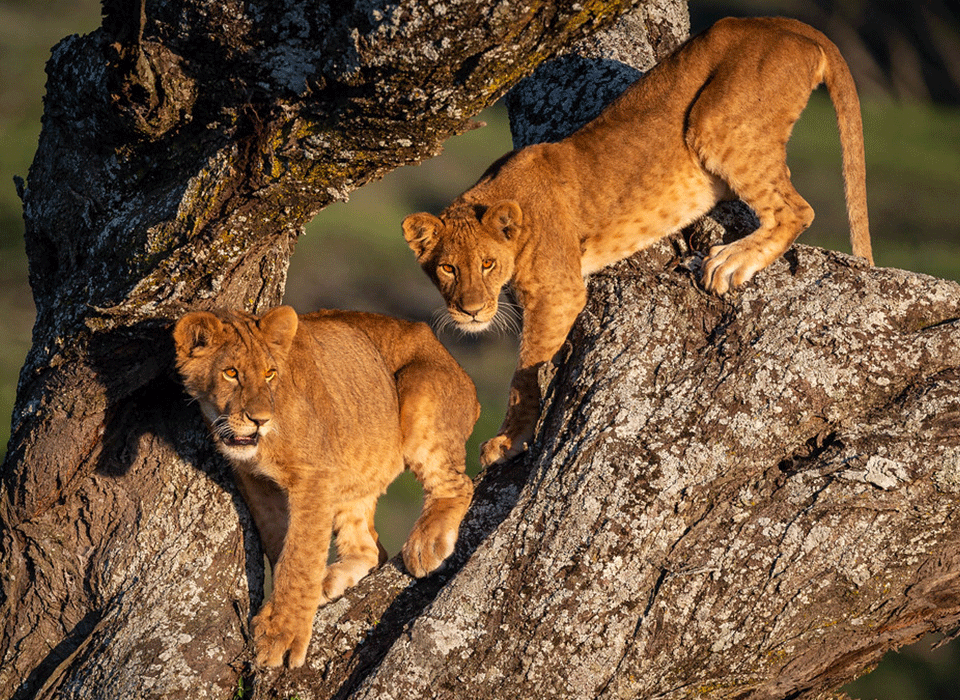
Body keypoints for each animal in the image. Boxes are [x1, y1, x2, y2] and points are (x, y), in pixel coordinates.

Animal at [173, 306, 479, 668]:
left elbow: (301, 553)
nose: (259, 420)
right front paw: (285, 609)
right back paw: (330, 579)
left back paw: (425, 545)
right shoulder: (255, 481)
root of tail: (454, 361)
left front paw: (282, 633)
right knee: (371, 549)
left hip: (420, 394)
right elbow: (281, 544)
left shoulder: (314, 477)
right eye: (231, 373)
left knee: (459, 484)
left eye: (270, 374)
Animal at [402, 17, 873, 466]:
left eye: (487, 264)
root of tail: (783, 24)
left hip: (715, 123)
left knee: (797, 210)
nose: (470, 311)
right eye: (447, 268)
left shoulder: (559, 292)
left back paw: (729, 262)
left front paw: (508, 440)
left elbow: (525, 371)